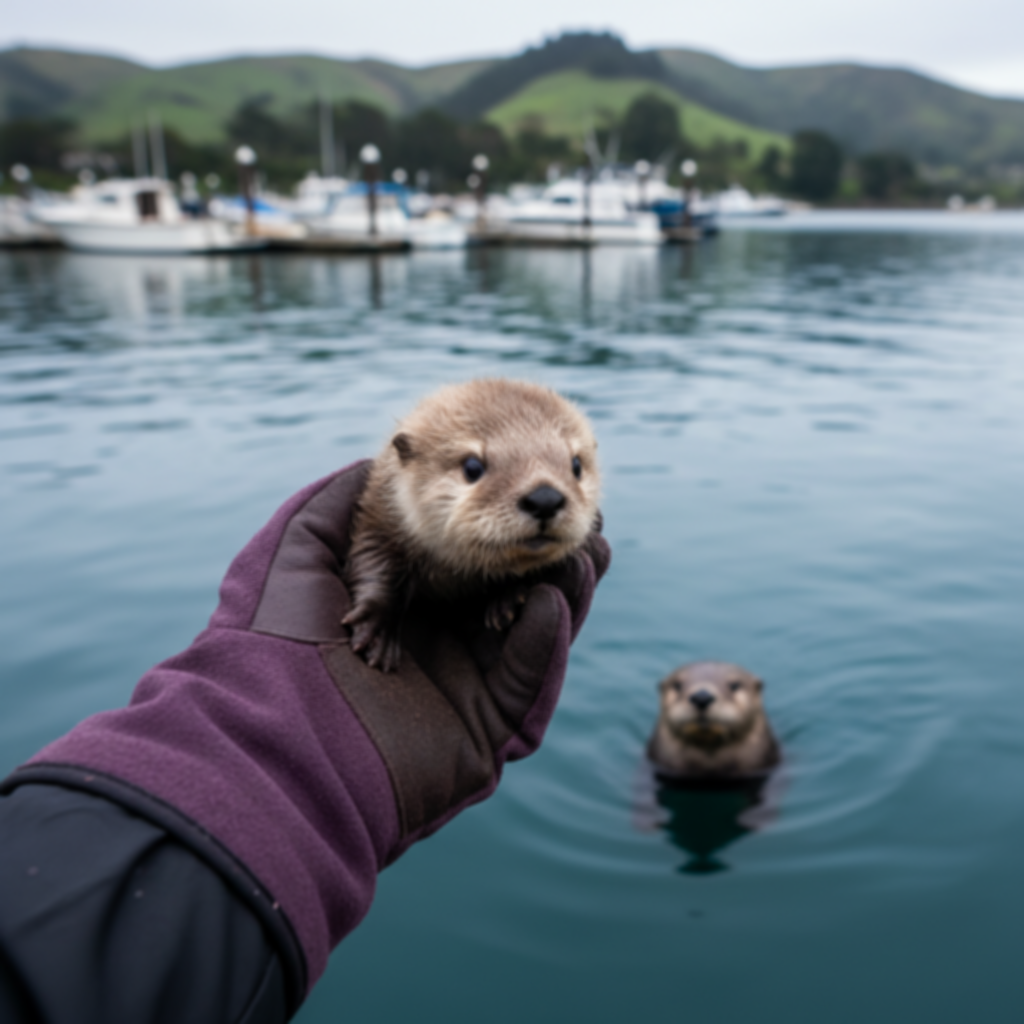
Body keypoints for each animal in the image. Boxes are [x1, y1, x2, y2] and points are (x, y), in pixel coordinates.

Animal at [343, 378, 601, 672]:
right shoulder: (380, 516)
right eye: (472, 467)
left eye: (576, 465)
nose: (545, 498)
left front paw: (507, 599)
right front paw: (377, 631)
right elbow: (374, 561)